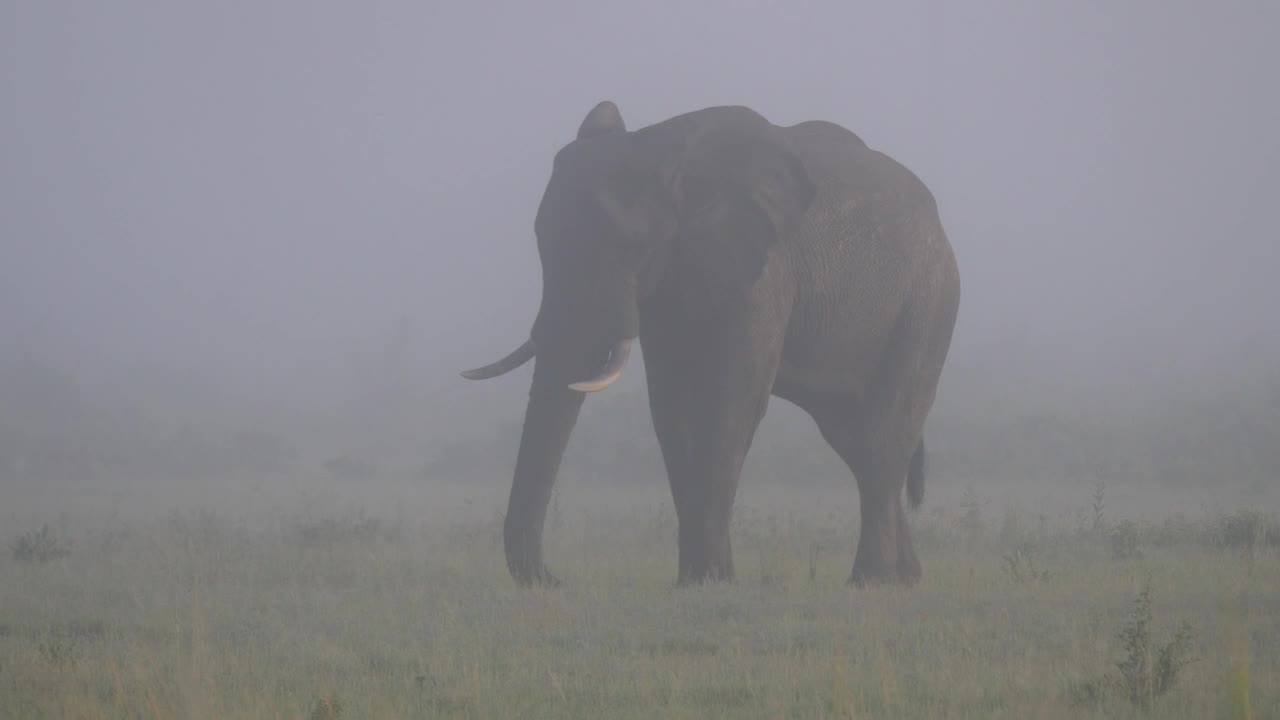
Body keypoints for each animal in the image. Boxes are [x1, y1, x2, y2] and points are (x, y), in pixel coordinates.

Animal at [462, 101, 960, 587]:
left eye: (631, 245)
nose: (555, 579)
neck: (665, 152)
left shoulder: (762, 269)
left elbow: (731, 399)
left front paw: (711, 581)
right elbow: (671, 405)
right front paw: (697, 582)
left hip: (928, 305)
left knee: (880, 437)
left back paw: (872, 581)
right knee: (851, 437)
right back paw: (905, 578)